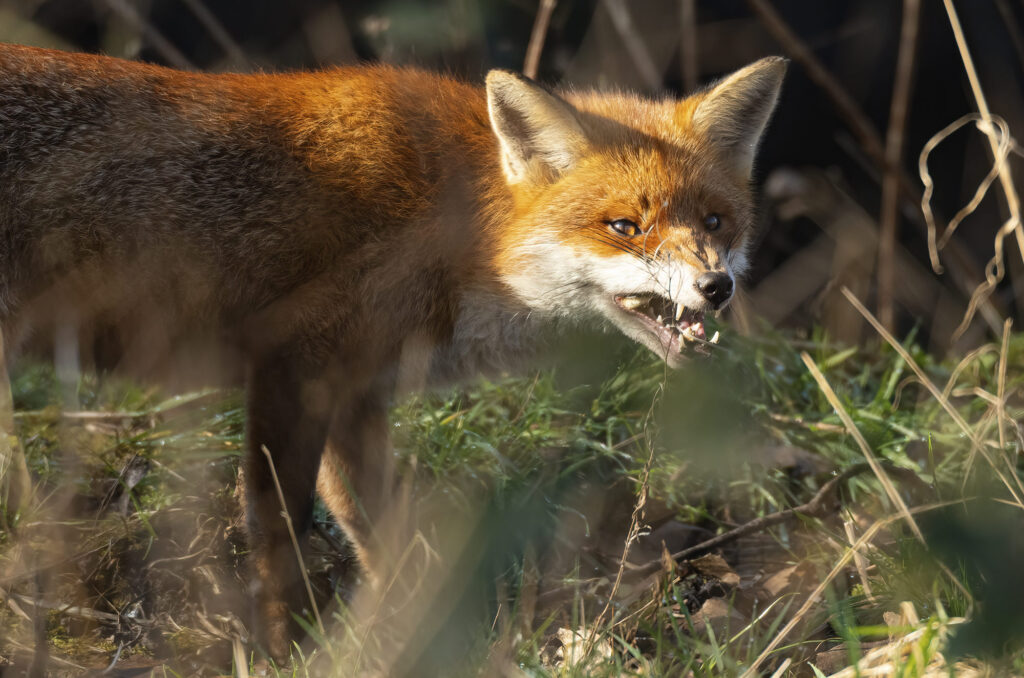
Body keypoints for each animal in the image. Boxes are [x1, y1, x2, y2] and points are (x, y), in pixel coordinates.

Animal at [0, 45, 782, 659]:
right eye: (624, 227)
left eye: (716, 221)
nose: (716, 287)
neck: (456, 224)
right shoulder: (295, 366)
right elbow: (278, 531)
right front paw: (282, 649)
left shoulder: (355, 394)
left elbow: (380, 534)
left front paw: (407, 636)